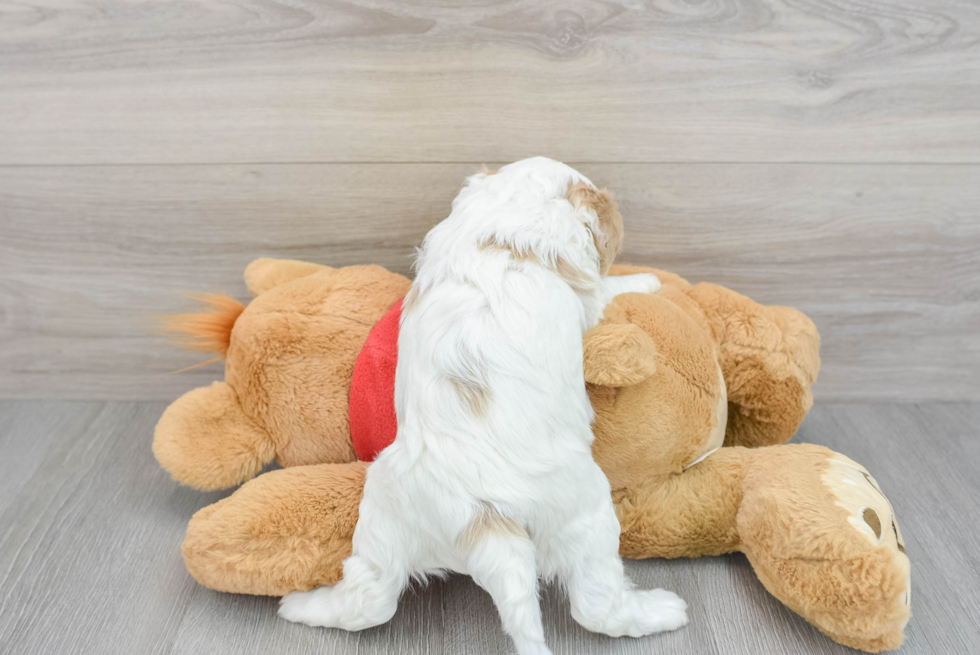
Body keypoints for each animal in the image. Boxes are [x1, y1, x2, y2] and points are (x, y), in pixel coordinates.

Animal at [280, 159, 684, 655]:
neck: (509, 210)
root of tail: (485, 524)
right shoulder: (587, 296)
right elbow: (606, 288)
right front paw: (646, 278)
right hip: (586, 514)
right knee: (597, 606)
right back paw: (663, 611)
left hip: (384, 517)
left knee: (367, 601)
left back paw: (300, 605)